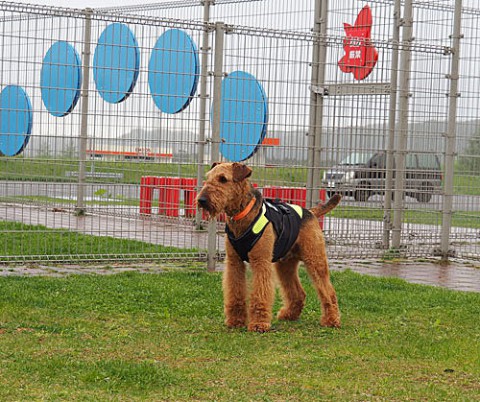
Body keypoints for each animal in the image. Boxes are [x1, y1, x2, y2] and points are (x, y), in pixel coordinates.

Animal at [198, 162, 342, 332]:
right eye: (208, 177)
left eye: (223, 179)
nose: (201, 200)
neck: (242, 214)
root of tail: (310, 212)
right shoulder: (234, 262)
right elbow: (235, 292)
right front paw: (235, 321)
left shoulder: (261, 261)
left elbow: (260, 293)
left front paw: (259, 324)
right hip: (285, 265)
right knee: (298, 293)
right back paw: (289, 314)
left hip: (315, 259)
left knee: (328, 291)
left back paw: (331, 320)